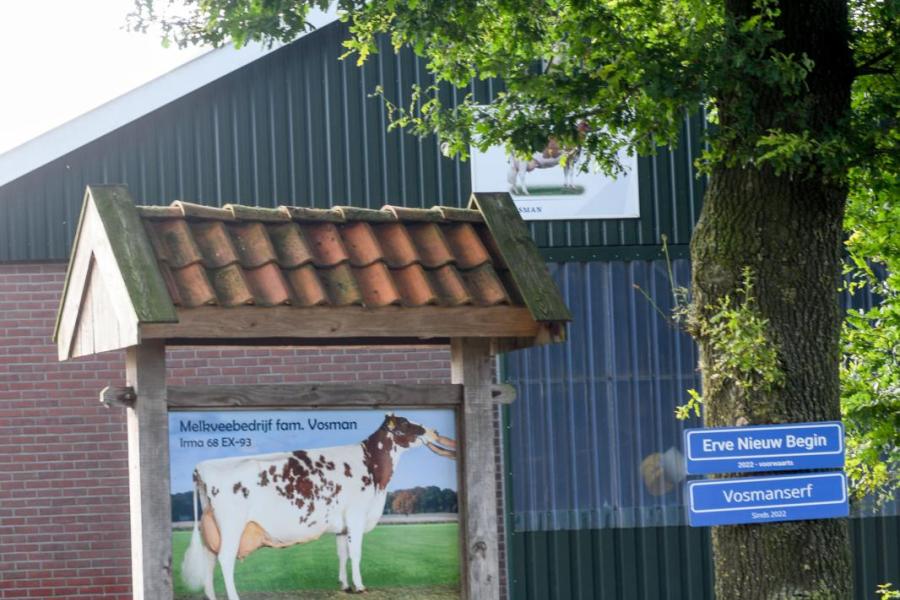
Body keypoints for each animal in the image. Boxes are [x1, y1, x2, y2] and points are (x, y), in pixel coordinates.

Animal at [181, 414, 458, 596]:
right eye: (406, 424)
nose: (433, 430)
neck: (373, 468)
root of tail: (201, 467)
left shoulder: (342, 525)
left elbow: (342, 553)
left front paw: (345, 585)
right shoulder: (356, 515)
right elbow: (356, 553)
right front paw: (360, 585)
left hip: (213, 530)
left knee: (209, 559)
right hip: (232, 525)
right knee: (225, 560)